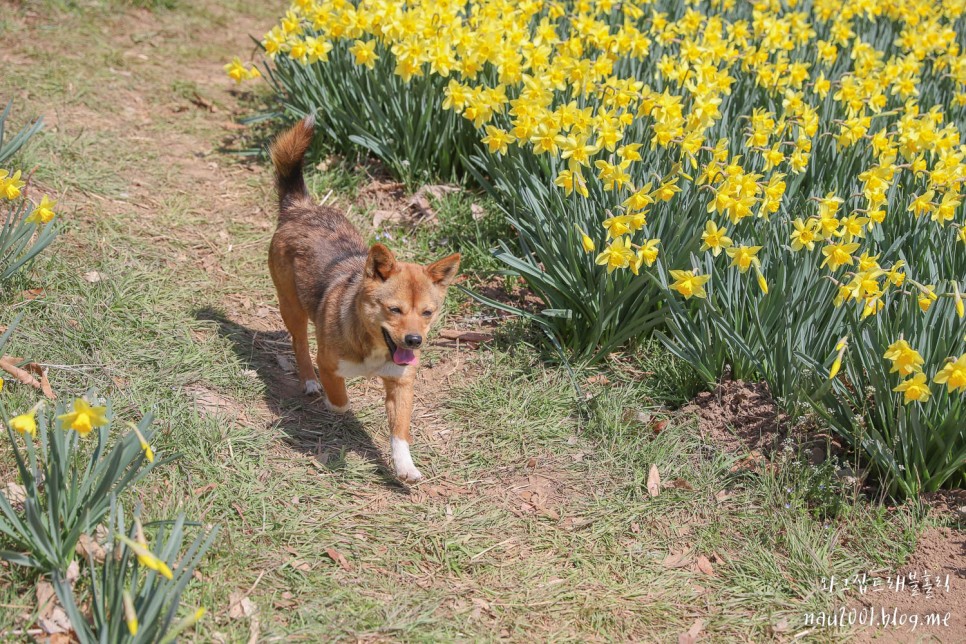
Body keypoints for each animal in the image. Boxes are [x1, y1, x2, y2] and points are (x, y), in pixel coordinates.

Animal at [266, 115, 460, 480]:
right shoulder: (331, 364)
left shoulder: (401, 384)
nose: (414, 341)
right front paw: (334, 403)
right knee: (299, 342)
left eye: (427, 313)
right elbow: (341, 401)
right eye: (394, 309)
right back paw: (309, 380)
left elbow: (400, 431)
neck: (375, 347)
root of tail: (301, 209)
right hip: (292, 306)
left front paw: (404, 466)